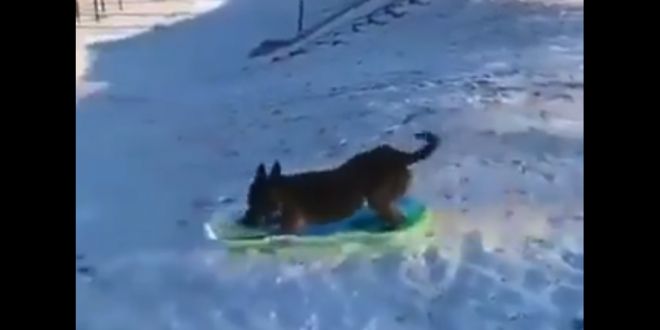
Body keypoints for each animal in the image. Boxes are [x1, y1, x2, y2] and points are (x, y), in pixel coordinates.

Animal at [240, 131, 440, 235]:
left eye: (255, 201)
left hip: (377, 199)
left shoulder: (289, 227)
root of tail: (399, 155)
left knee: (398, 219)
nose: (243, 222)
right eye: (248, 200)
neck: (281, 191)